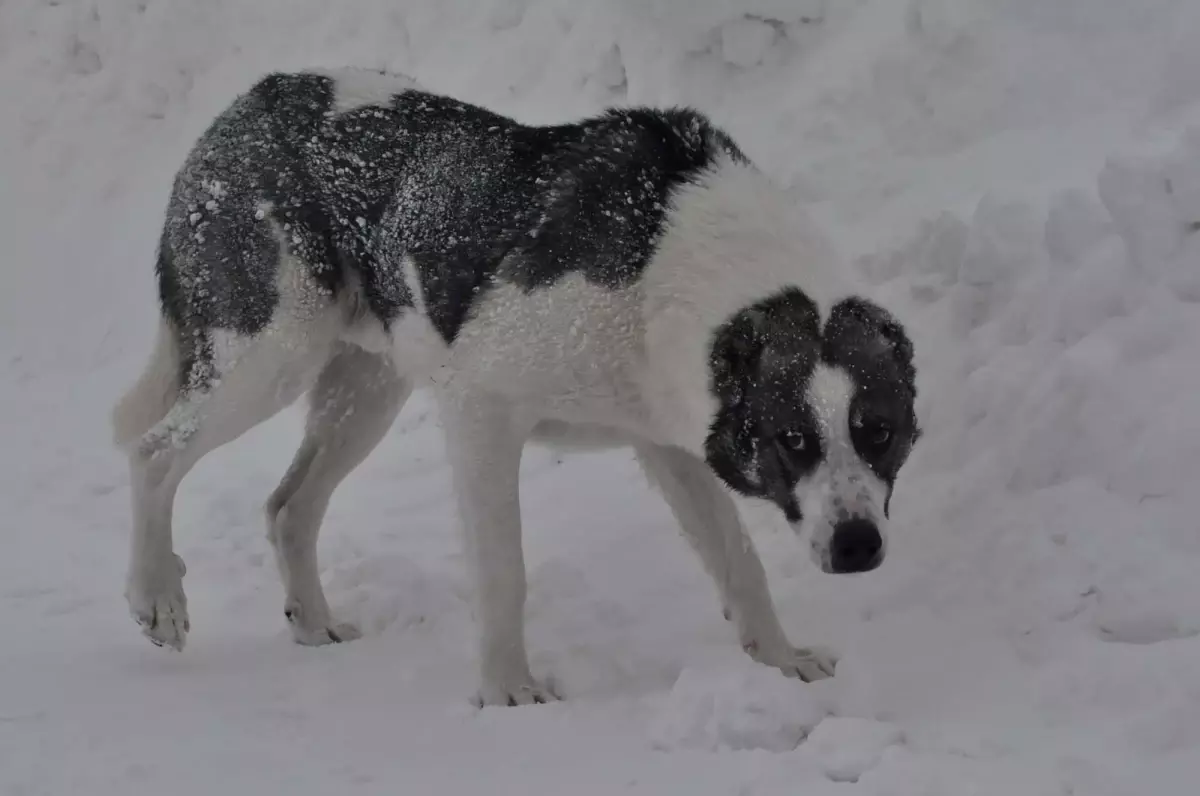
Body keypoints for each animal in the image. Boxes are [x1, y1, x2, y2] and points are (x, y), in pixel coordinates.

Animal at [112, 66, 916, 705]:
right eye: (793, 439)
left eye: (879, 432)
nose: (858, 546)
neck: (668, 260)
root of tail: (249, 102)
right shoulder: (483, 414)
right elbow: (504, 572)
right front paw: (508, 692)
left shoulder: (670, 447)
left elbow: (738, 562)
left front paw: (780, 662)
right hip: (268, 354)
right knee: (155, 450)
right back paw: (157, 597)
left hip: (365, 393)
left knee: (288, 506)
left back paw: (312, 622)